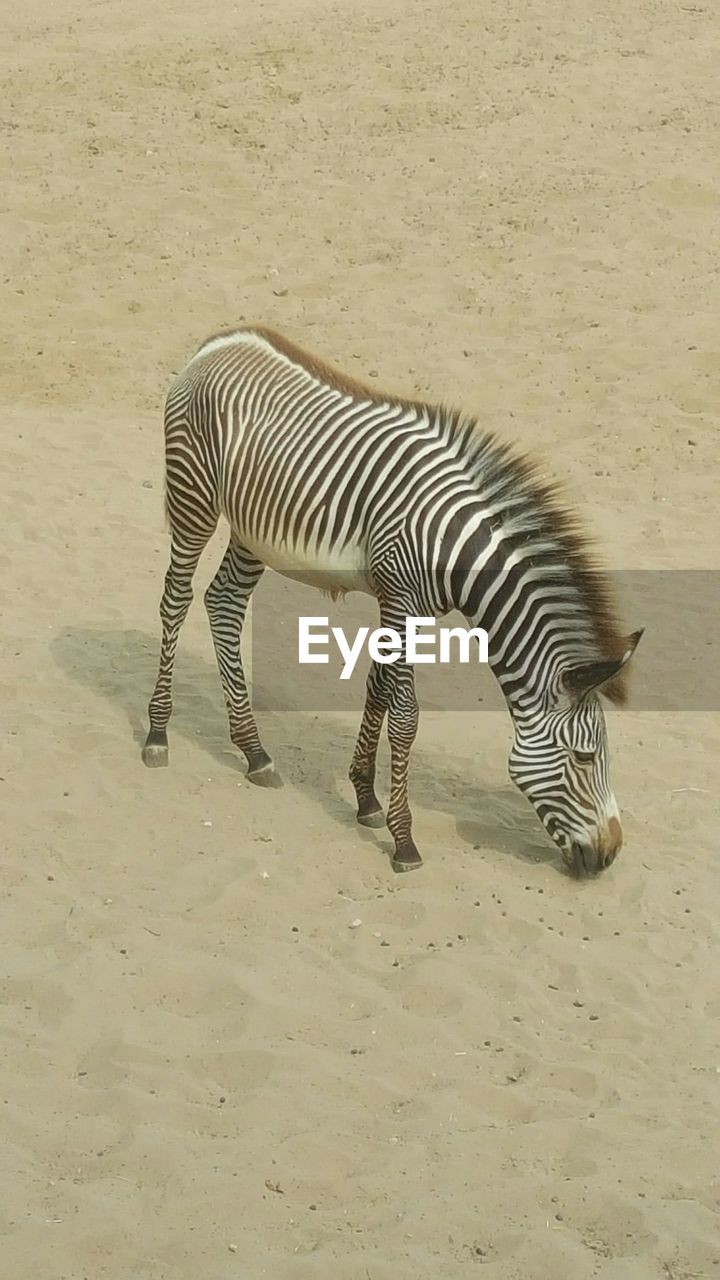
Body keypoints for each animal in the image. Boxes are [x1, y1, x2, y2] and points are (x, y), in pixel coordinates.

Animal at [143, 325, 643, 878]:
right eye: (585, 758)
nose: (610, 854)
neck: (455, 546)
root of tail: (221, 342)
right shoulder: (401, 599)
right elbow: (405, 716)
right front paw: (403, 839)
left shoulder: (403, 606)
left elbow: (379, 687)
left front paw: (365, 798)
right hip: (194, 497)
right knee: (176, 599)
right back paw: (158, 735)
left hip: (254, 529)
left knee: (225, 603)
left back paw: (254, 751)